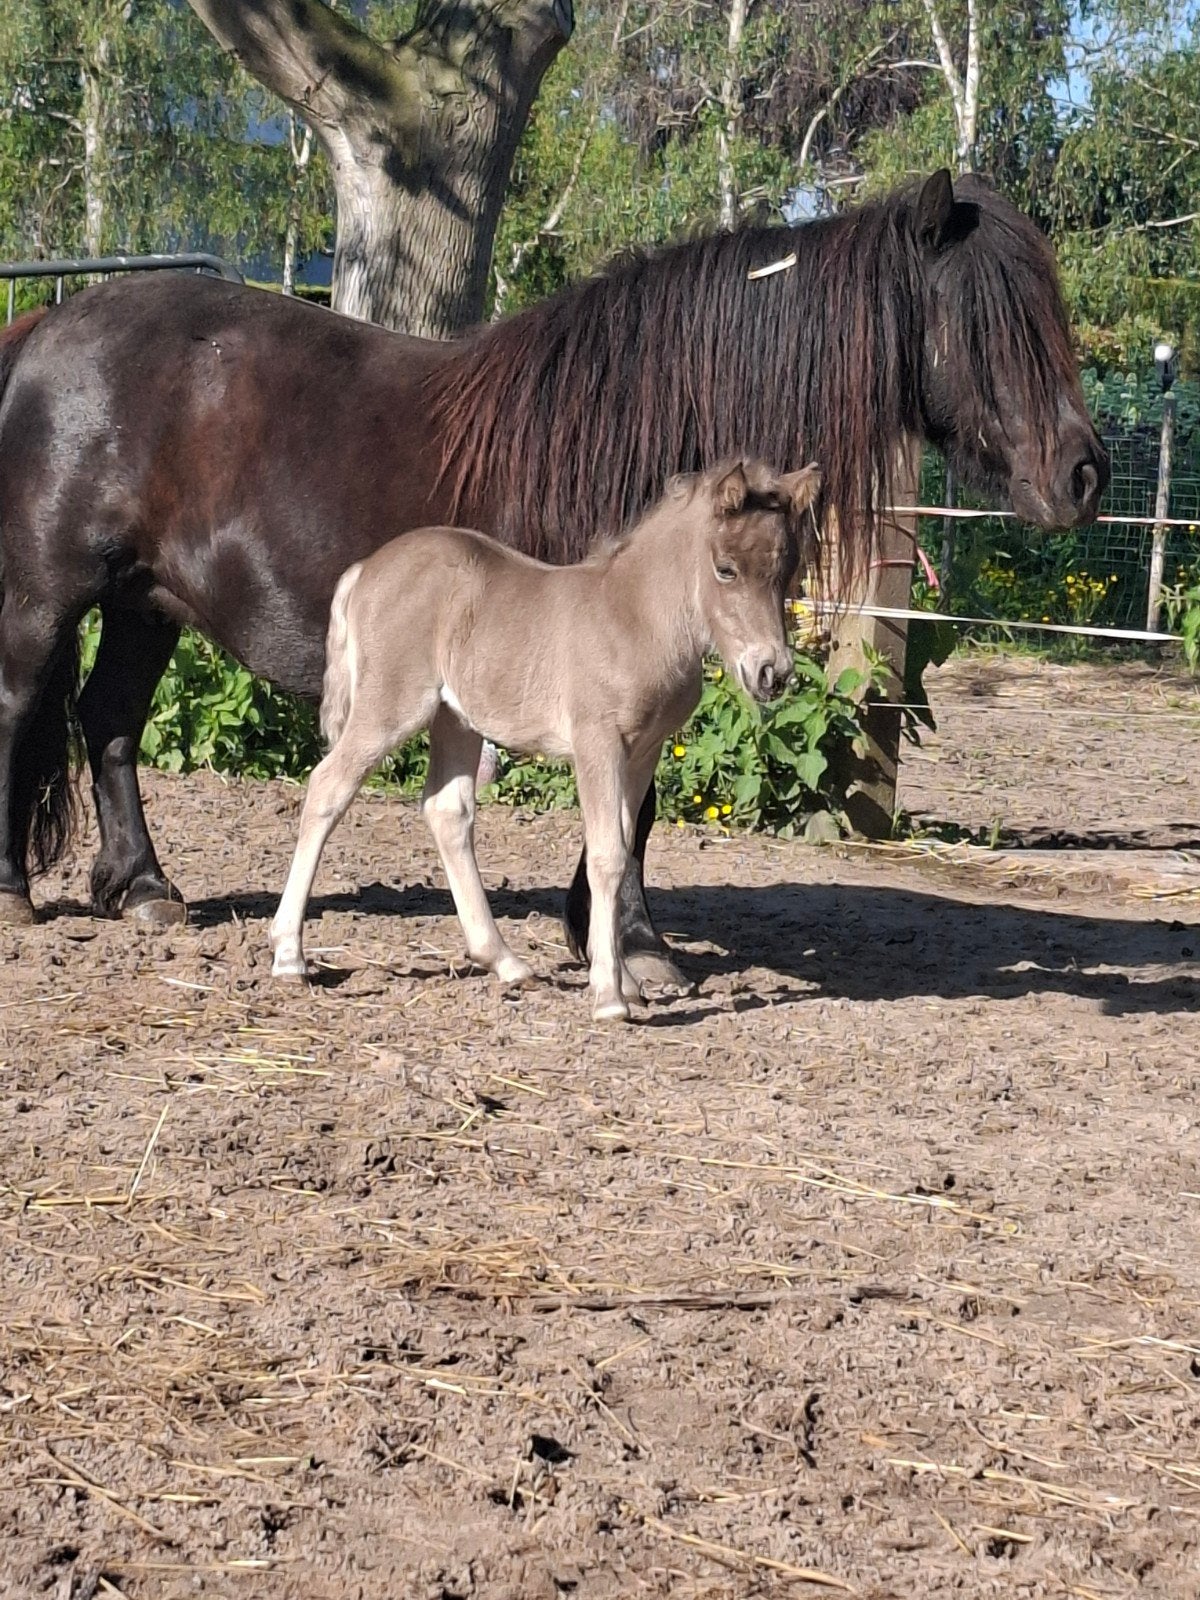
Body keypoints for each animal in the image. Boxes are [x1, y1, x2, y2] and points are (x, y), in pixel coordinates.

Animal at [269, 459, 820, 1020]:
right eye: (726, 569)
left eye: (787, 570)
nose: (772, 673)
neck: (634, 616)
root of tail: (365, 569)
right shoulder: (598, 741)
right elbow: (607, 856)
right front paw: (609, 998)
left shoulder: (643, 752)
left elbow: (622, 849)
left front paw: (622, 980)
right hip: (392, 706)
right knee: (329, 785)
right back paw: (289, 956)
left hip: (455, 718)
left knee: (447, 810)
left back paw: (506, 963)